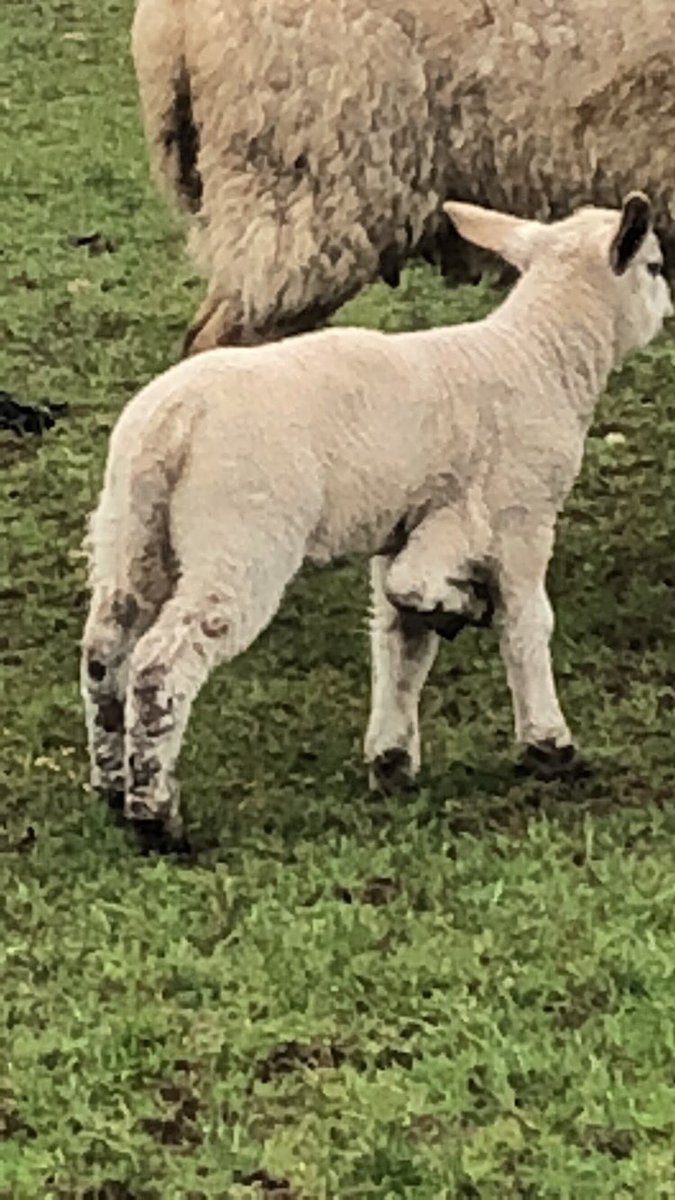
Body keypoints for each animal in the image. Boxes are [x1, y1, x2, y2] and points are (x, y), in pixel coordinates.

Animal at [81, 192, 672, 846]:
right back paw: (156, 815)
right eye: (655, 266)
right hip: (239, 536)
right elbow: (523, 624)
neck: (542, 356)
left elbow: (401, 635)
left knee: (105, 651)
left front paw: (392, 758)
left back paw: (113, 784)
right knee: (161, 663)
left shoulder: (408, 524)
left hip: (129, 528)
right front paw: (549, 745)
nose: (669, 311)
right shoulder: (516, 515)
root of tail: (174, 423)